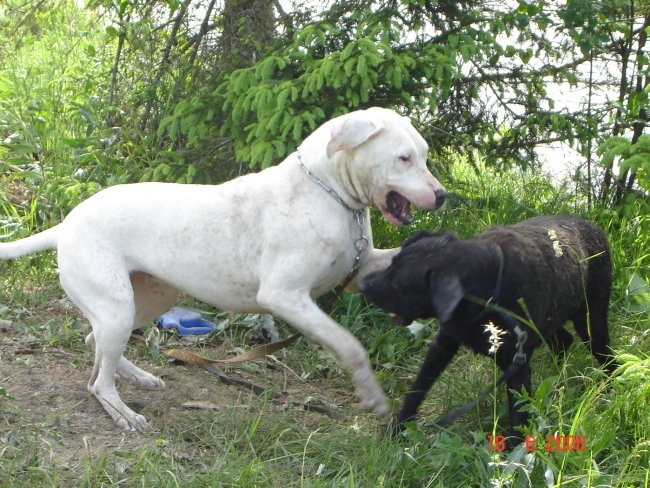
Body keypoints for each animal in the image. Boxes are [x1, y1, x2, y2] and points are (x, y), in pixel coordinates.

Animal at [0, 107, 442, 430]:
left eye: (424, 155)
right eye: (403, 158)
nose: (441, 196)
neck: (327, 190)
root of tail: (66, 224)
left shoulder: (361, 270)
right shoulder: (286, 297)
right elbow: (350, 345)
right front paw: (372, 396)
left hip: (150, 299)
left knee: (95, 343)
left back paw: (139, 377)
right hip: (117, 308)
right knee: (97, 383)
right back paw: (123, 413)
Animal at [356, 215, 616, 444]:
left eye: (400, 285)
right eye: (392, 261)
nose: (361, 283)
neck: (490, 292)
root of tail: (595, 228)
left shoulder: (517, 367)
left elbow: (518, 414)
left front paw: (513, 454)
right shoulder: (443, 344)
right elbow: (418, 389)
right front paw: (397, 428)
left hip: (591, 324)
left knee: (607, 358)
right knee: (563, 340)